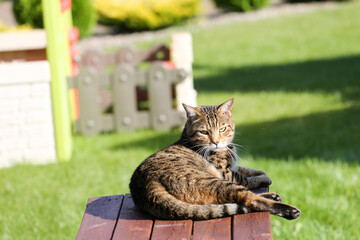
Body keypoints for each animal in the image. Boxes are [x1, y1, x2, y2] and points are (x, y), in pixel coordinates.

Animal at [130, 98, 300, 220]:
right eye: (204, 132)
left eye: (222, 129)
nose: (216, 142)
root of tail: (145, 187)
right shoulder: (226, 173)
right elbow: (245, 178)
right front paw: (263, 178)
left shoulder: (232, 166)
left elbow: (246, 169)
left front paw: (260, 172)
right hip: (214, 181)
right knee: (248, 198)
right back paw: (288, 210)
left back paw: (272, 196)